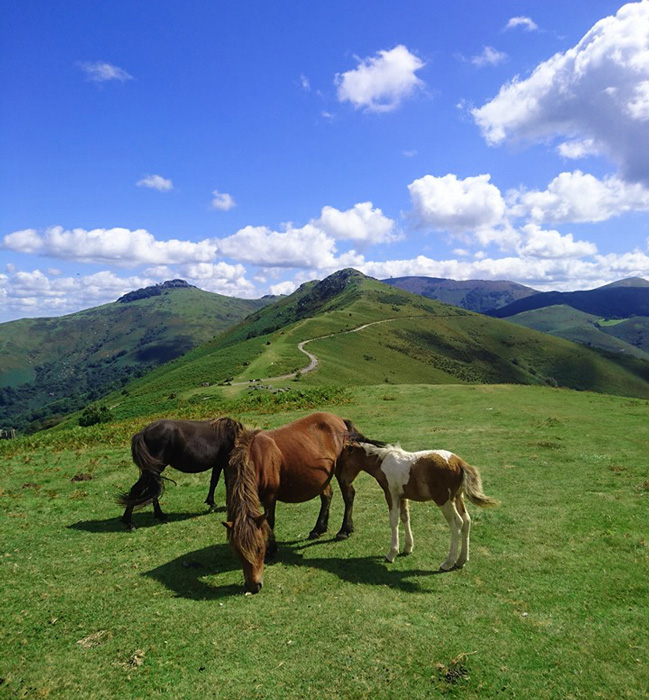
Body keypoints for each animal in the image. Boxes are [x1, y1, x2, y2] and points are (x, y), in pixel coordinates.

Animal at [223, 412, 370, 592]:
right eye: (237, 552)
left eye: (259, 549)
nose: (254, 586)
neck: (255, 457)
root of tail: (339, 420)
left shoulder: (270, 496)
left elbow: (269, 522)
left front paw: (272, 549)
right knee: (327, 497)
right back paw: (318, 529)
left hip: (342, 471)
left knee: (348, 496)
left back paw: (345, 530)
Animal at [336, 442, 498, 568]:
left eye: (343, 459)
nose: (343, 481)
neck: (382, 462)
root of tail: (460, 463)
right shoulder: (403, 496)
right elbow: (405, 517)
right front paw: (408, 547)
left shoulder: (391, 494)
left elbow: (394, 521)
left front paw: (391, 554)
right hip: (458, 498)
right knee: (467, 521)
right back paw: (461, 560)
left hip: (444, 500)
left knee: (457, 523)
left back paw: (448, 563)